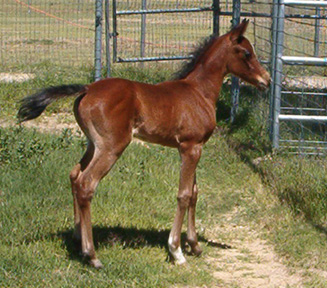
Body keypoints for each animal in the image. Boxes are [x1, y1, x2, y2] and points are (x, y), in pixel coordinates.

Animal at [18, 19, 270, 268]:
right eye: (247, 52)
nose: (266, 80)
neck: (199, 92)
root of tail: (87, 88)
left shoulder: (193, 148)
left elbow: (194, 192)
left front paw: (195, 245)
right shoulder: (190, 147)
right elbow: (184, 194)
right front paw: (176, 251)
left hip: (93, 144)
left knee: (74, 174)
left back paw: (78, 238)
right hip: (111, 147)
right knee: (86, 184)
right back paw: (92, 255)